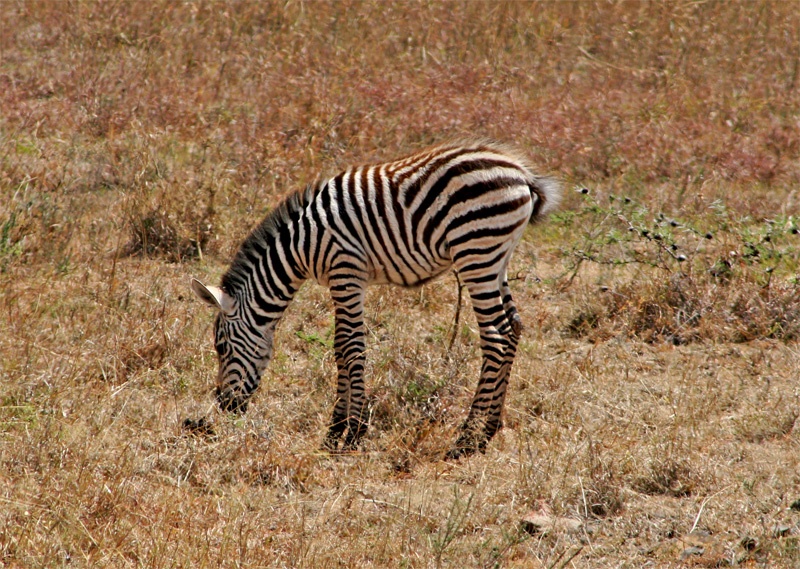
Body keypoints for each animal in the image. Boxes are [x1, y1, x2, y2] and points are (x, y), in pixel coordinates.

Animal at [191, 140, 560, 460]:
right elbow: (341, 348)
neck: (300, 245)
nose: (224, 404)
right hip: (498, 259)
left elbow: (350, 347)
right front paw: (335, 432)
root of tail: (521, 175)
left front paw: (352, 433)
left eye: (220, 347)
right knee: (514, 329)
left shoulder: (345, 270)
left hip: (476, 251)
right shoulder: (342, 279)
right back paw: (488, 432)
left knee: (497, 337)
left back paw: (466, 439)